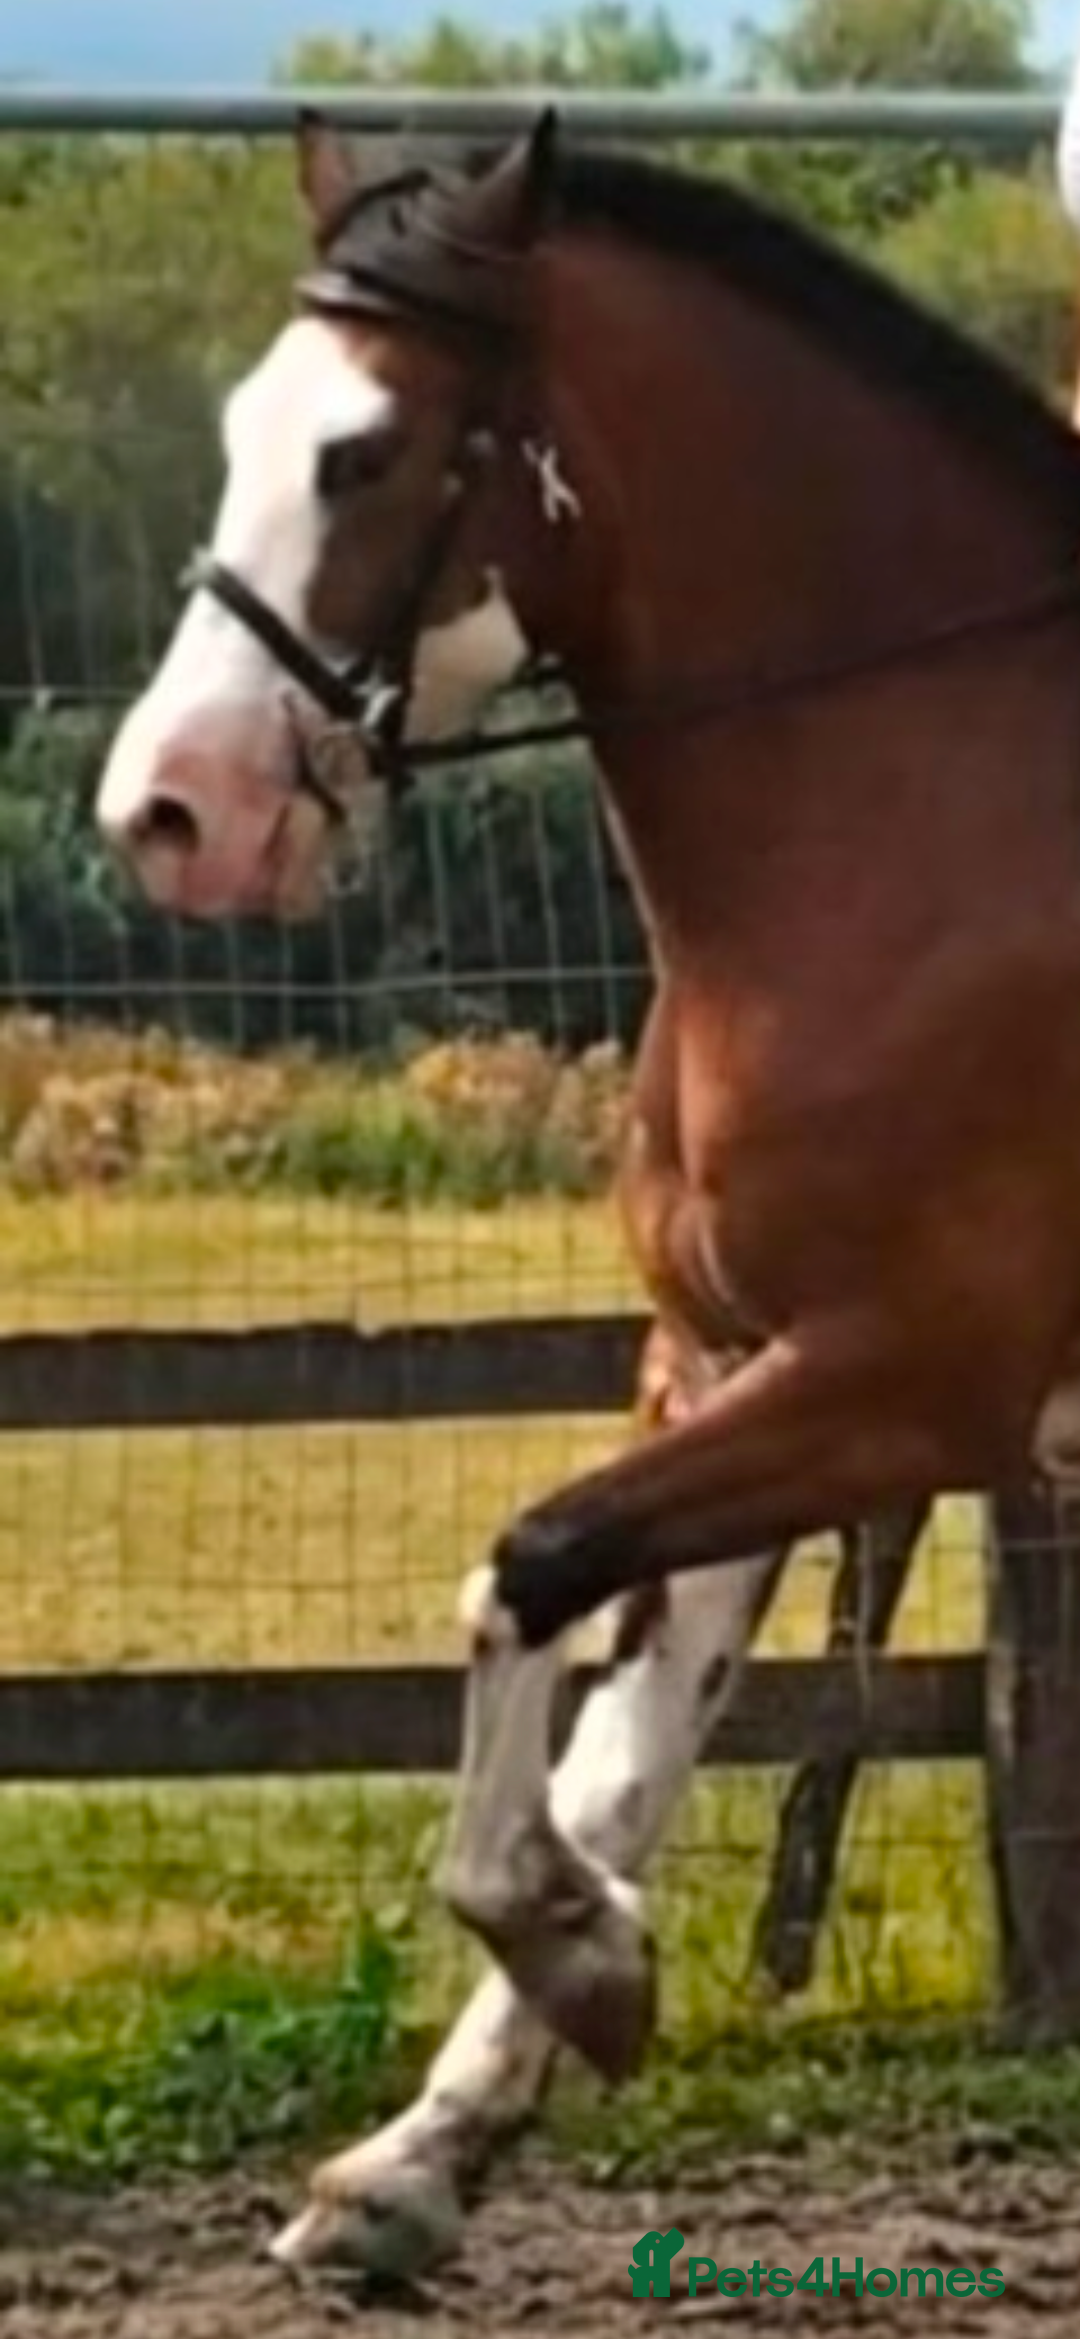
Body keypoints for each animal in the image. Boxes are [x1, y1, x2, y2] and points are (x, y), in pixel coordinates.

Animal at [95, 110, 1080, 2279]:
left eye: (365, 453)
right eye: (246, 423)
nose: (170, 810)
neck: (928, 827)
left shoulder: (910, 1375)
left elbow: (525, 1565)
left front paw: (588, 1959)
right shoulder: (725, 1360)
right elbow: (622, 1723)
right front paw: (417, 2154)